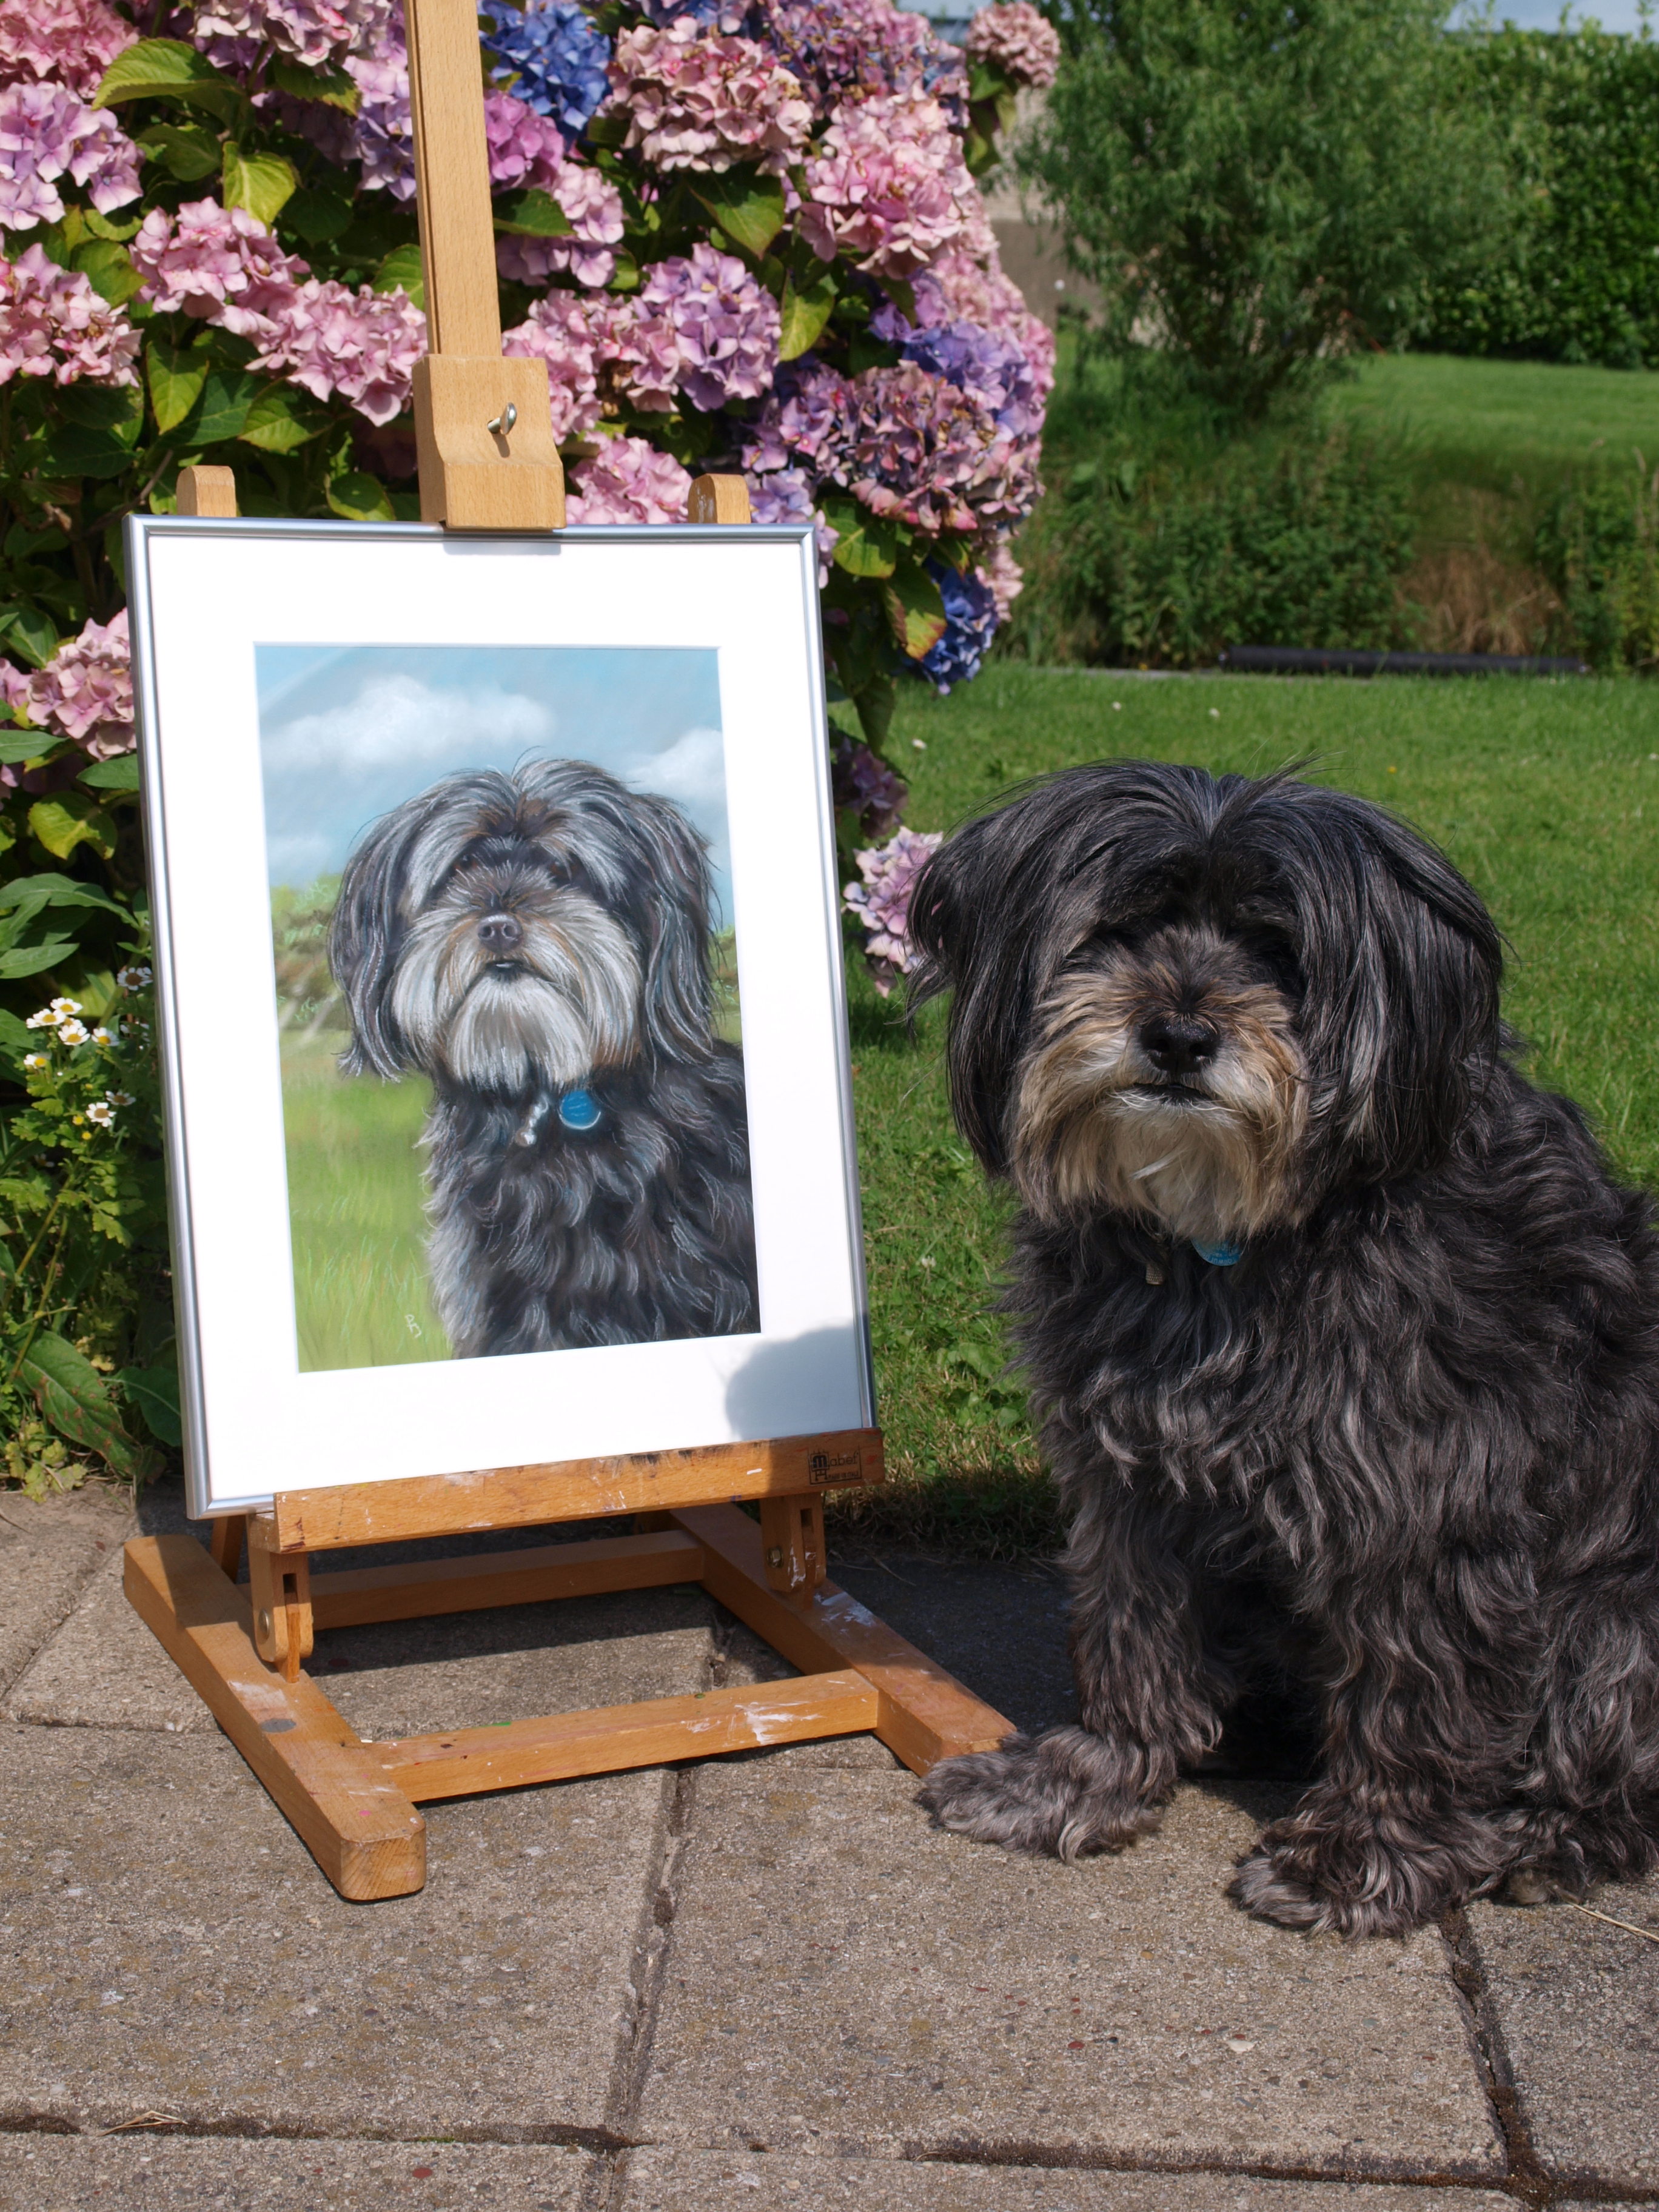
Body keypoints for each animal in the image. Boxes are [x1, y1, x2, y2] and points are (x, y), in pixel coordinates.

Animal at [916, 760, 1654, 1937]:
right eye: (1121, 930)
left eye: (1279, 953)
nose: (1177, 1036)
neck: (1232, 1242)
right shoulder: (1132, 1478)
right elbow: (1126, 1633)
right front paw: (1083, 1778)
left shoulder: (1427, 1505)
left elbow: (1415, 1689)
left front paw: (1365, 1854)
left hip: (1613, 1622)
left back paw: (1548, 1839)